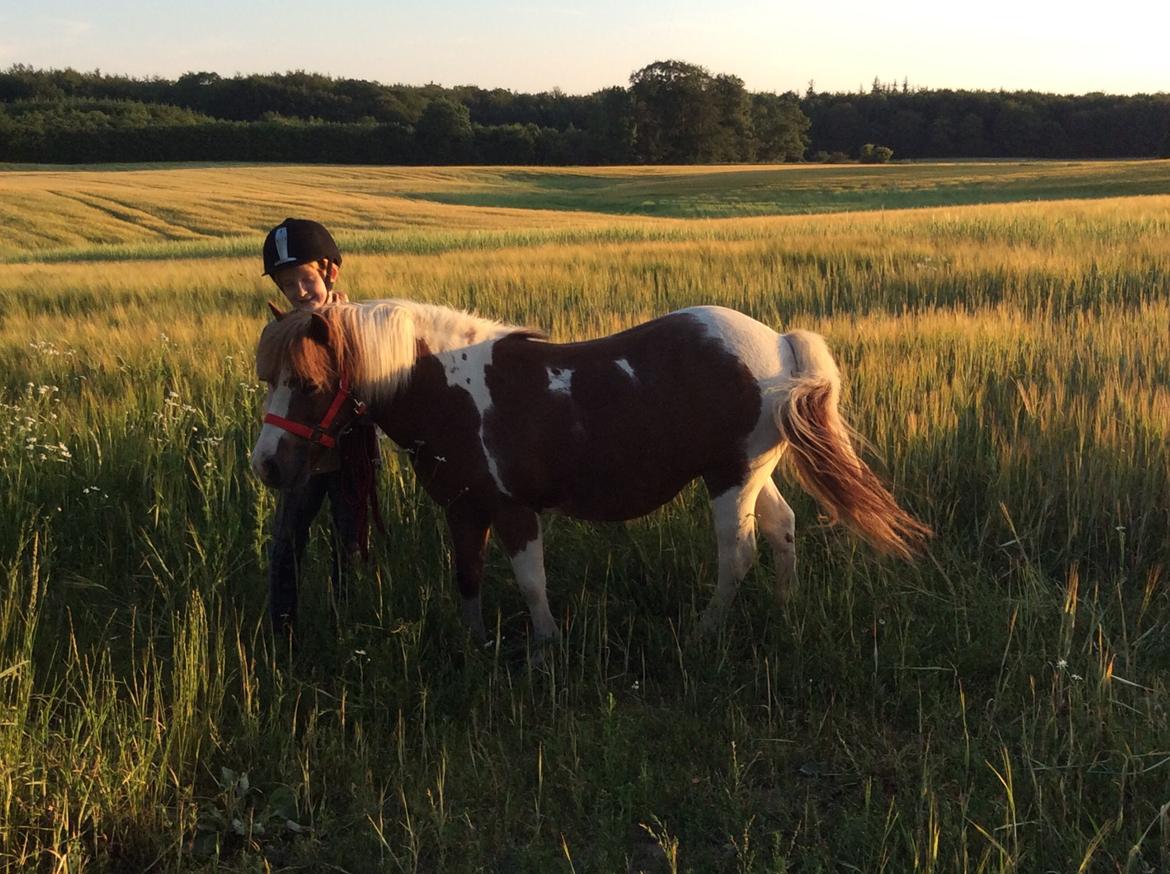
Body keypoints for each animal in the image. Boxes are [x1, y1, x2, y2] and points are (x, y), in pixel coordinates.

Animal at [251, 301, 926, 641]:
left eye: (308, 383)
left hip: (730, 476)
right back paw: (784, 613)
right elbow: (467, 580)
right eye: (268, 378)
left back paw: (704, 634)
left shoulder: (513, 510)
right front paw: (474, 652)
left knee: (738, 554)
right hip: (753, 473)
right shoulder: (464, 509)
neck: (450, 391)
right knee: (782, 530)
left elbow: (531, 585)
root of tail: (779, 343)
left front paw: (546, 652)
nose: (268, 465)